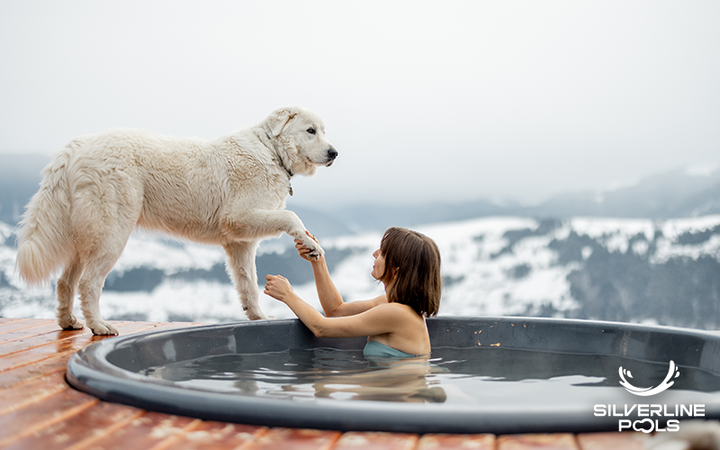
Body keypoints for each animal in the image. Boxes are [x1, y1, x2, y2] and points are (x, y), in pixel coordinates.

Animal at [14, 105, 334, 334]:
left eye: (323, 131)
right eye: (310, 130)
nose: (335, 152)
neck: (271, 151)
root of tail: (74, 148)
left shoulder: (239, 243)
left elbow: (248, 285)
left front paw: (258, 317)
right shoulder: (239, 218)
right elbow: (291, 216)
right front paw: (310, 244)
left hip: (86, 237)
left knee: (65, 282)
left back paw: (69, 322)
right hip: (112, 234)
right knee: (88, 283)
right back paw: (99, 326)